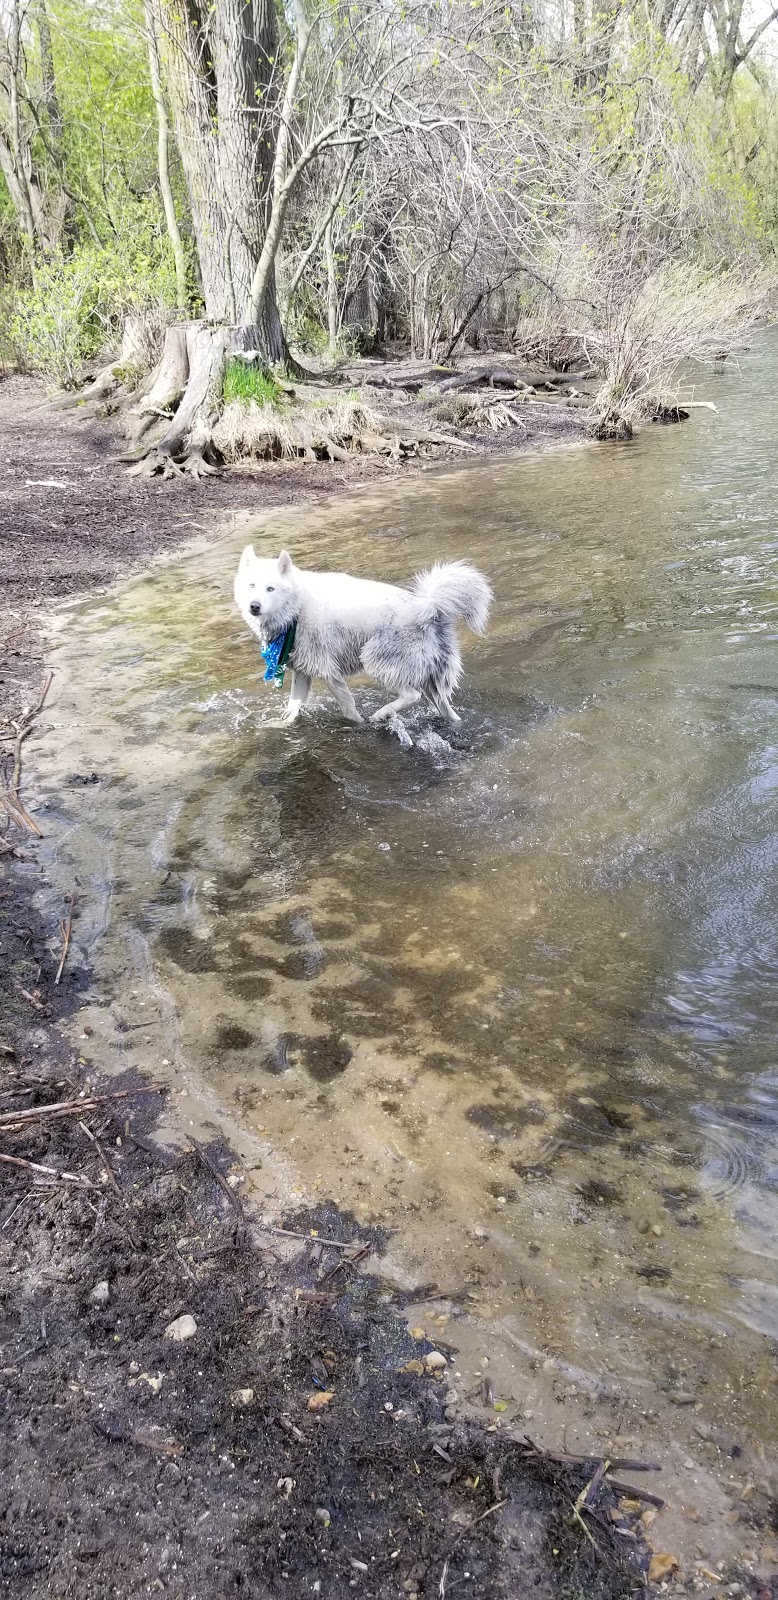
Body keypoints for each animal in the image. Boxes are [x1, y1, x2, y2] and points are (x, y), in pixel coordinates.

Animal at [232, 547, 493, 729]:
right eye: (251, 585)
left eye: (271, 589)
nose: (254, 606)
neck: (297, 607)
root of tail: (429, 608)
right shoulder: (303, 671)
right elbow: (293, 707)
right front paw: (281, 725)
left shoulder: (330, 673)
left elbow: (349, 710)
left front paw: (358, 725)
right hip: (430, 679)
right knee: (445, 708)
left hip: (377, 660)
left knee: (411, 695)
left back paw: (382, 714)